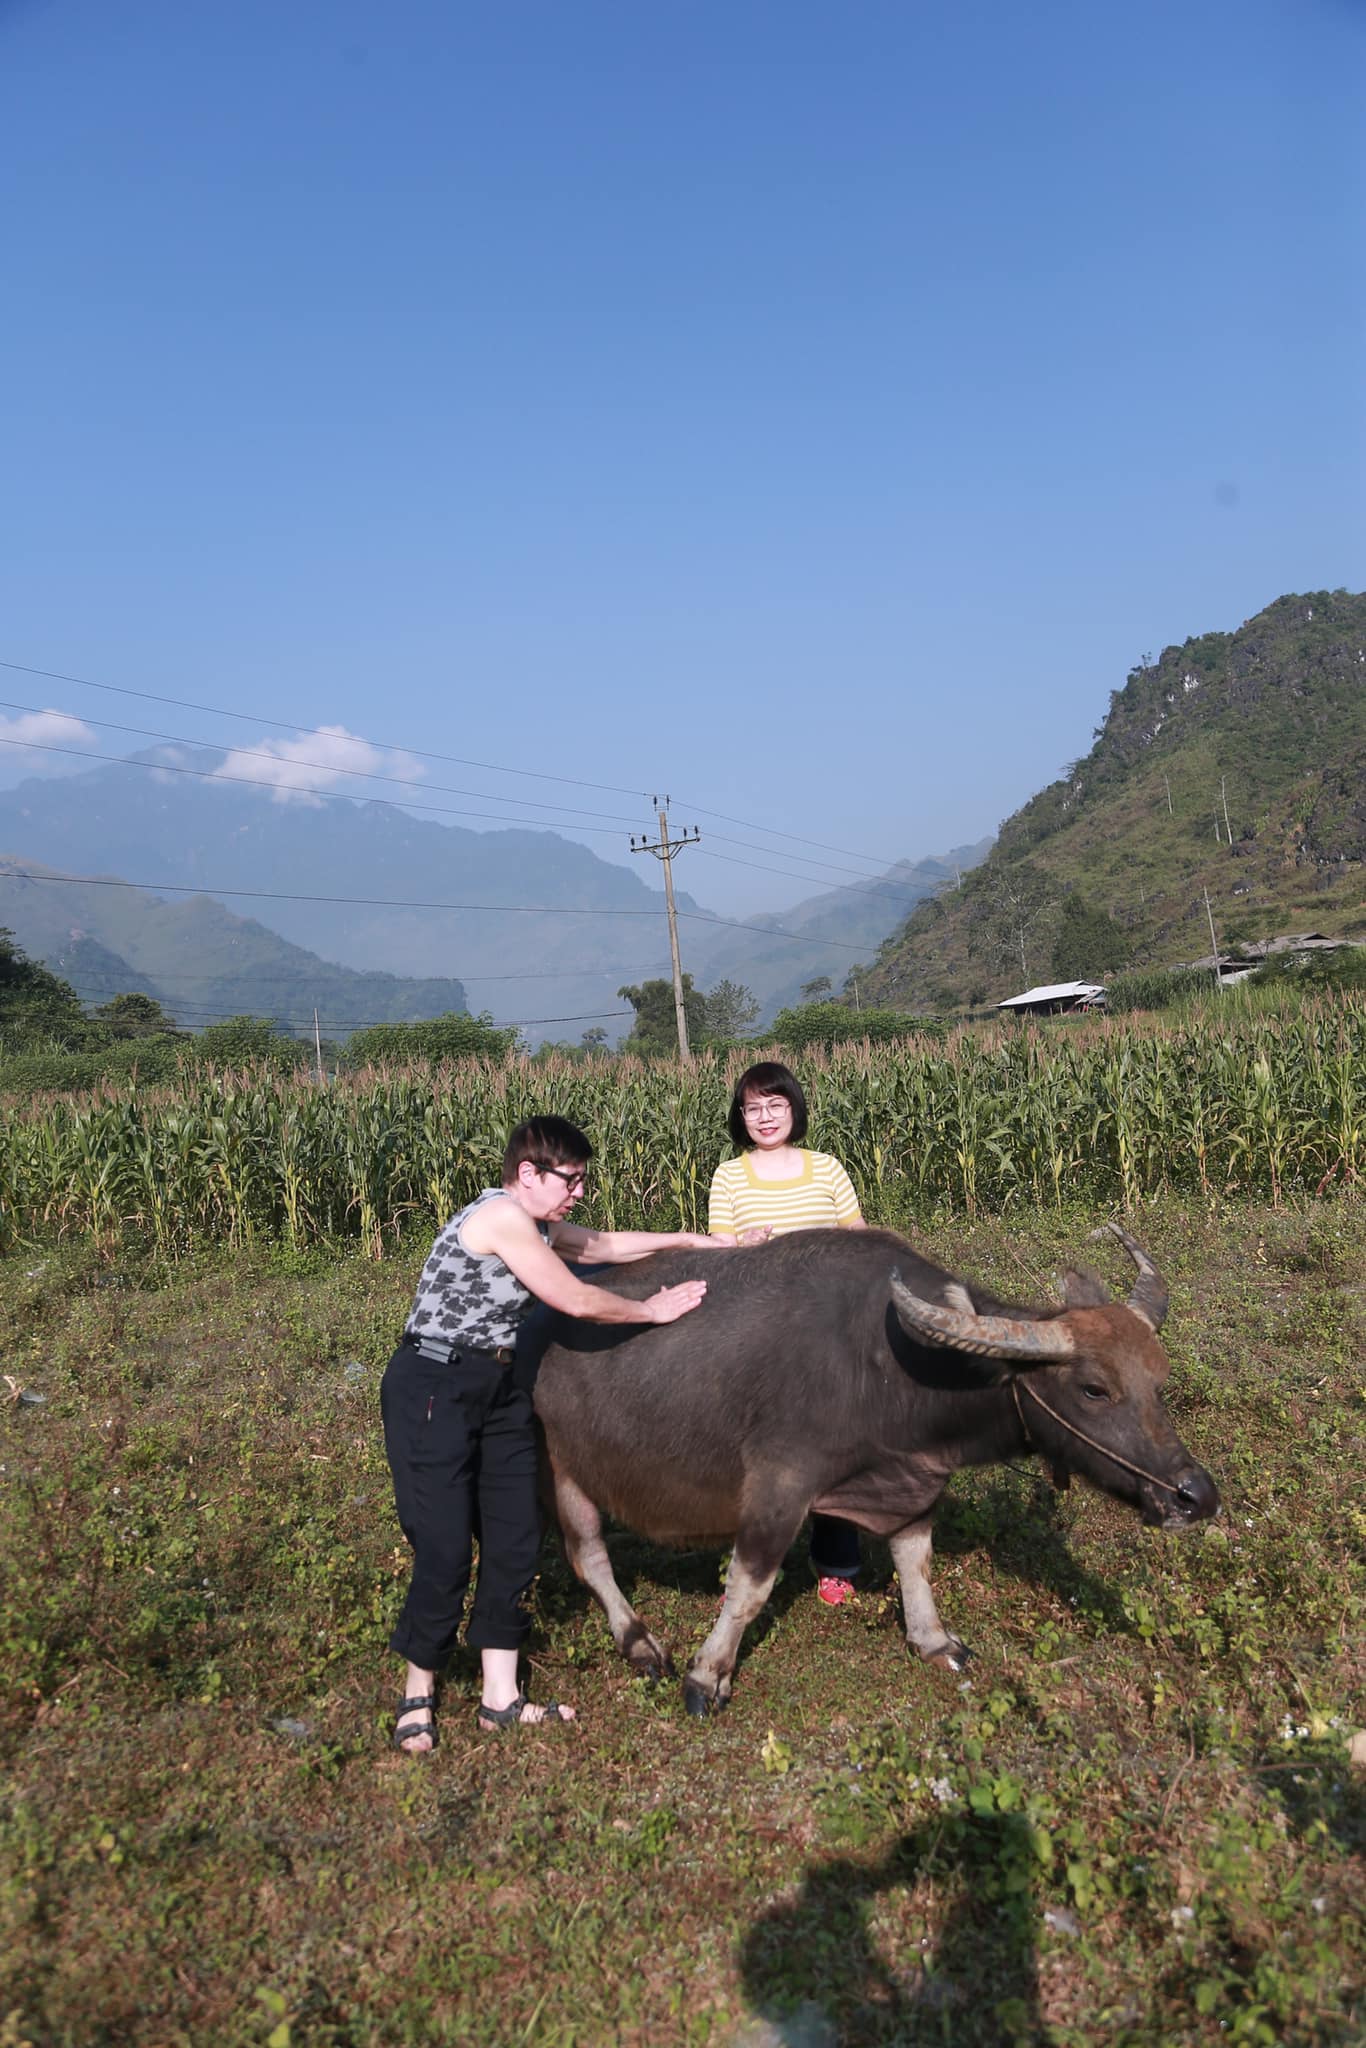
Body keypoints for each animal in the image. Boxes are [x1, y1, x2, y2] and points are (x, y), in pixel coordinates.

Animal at [532, 1212, 1220, 1712]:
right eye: (1094, 1389)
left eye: (1158, 1379)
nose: (1195, 1496)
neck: (888, 1369)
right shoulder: (778, 1487)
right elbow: (748, 1590)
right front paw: (708, 1677)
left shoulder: (911, 1485)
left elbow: (916, 1562)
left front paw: (934, 1639)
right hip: (561, 1466)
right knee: (589, 1554)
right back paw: (640, 1643)